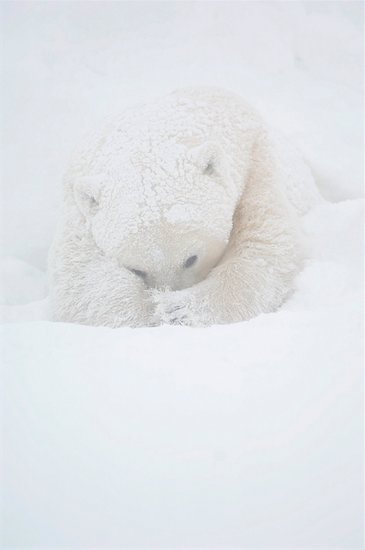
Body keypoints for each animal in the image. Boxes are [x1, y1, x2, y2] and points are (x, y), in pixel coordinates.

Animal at [47, 87, 320, 328]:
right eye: (137, 270)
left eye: (191, 259)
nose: (169, 292)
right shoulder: (77, 193)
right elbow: (81, 276)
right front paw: (152, 311)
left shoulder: (254, 161)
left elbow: (265, 245)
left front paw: (178, 310)